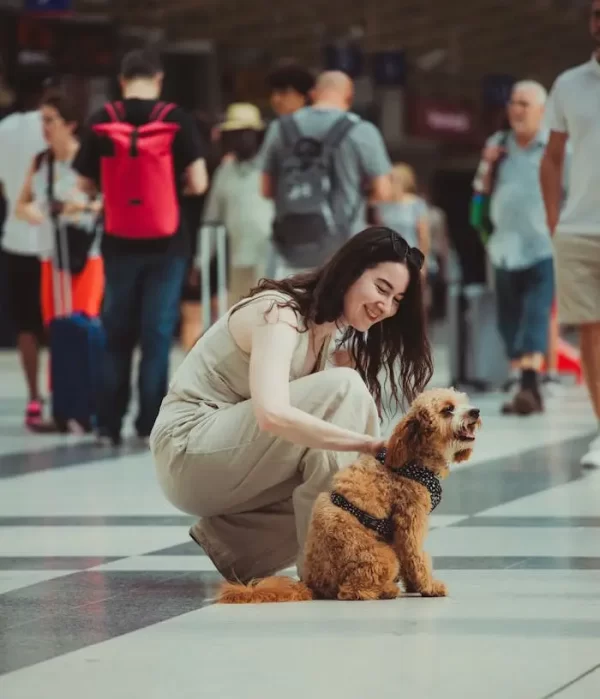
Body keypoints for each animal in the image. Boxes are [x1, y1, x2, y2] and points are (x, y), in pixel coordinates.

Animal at [218, 386, 480, 604]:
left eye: (463, 402)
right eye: (447, 409)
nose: (475, 412)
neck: (413, 460)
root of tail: (312, 584)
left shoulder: (399, 532)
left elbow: (411, 561)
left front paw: (416, 585)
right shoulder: (410, 520)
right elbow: (416, 557)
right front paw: (429, 586)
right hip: (381, 555)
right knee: (351, 591)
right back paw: (386, 590)